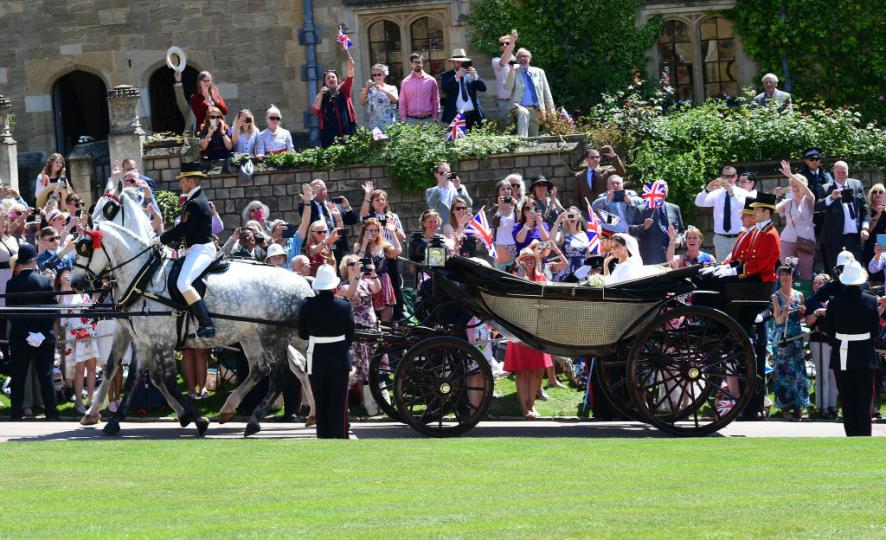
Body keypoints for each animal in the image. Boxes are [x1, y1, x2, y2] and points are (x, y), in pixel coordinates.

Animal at [75, 188, 316, 436]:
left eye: (83, 246)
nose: (75, 282)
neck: (145, 275)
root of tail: (301, 281)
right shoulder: (141, 339)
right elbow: (133, 376)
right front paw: (112, 420)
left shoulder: (161, 340)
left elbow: (165, 380)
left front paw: (196, 419)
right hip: (252, 335)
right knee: (266, 367)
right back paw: (237, 409)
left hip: (273, 336)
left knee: (281, 374)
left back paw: (257, 420)